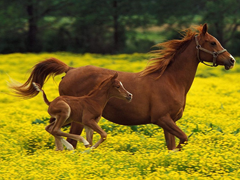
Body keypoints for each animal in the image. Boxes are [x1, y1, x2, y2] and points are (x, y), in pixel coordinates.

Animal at [10, 24, 235, 150]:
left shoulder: (168, 123)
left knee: (54, 131)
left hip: (67, 118)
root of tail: (70, 70)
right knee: (65, 136)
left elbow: (172, 146)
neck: (171, 81)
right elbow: (184, 140)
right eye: (212, 42)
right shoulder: (162, 119)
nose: (231, 60)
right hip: (75, 119)